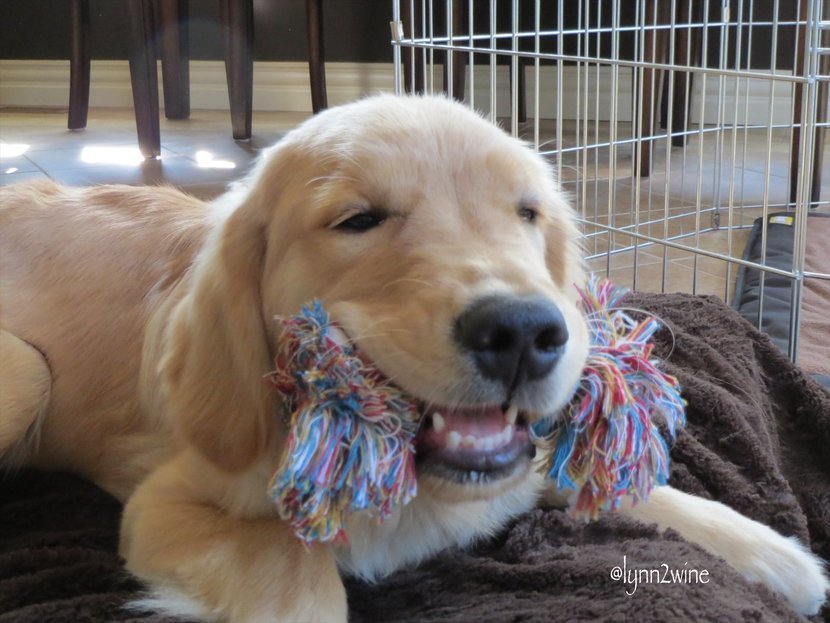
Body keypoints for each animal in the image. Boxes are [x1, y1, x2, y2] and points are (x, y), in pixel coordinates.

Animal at [1, 95, 826, 621]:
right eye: (358, 220)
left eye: (528, 213)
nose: (524, 331)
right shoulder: (163, 503)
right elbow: (290, 572)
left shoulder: (523, 463)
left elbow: (633, 489)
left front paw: (779, 557)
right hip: (27, 375)